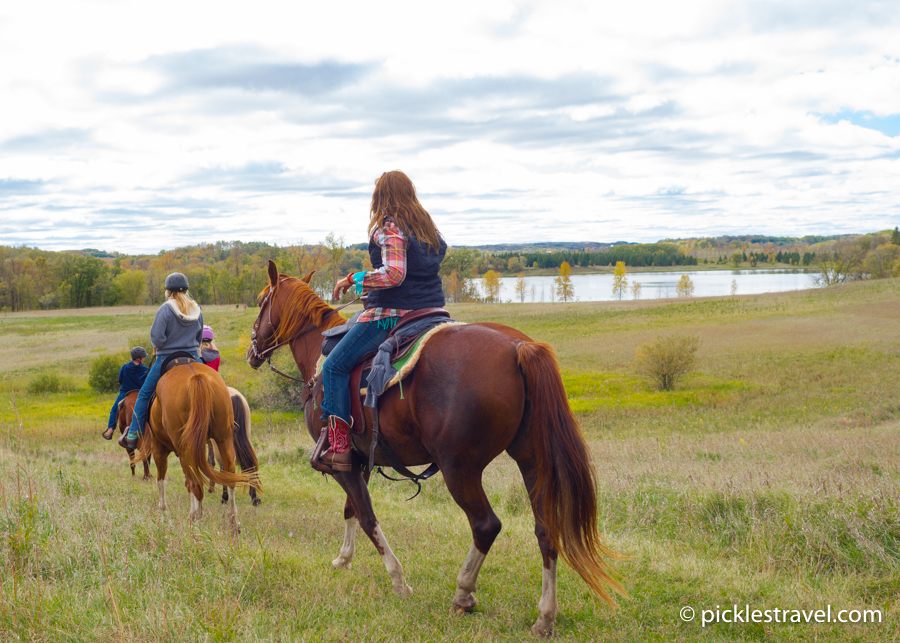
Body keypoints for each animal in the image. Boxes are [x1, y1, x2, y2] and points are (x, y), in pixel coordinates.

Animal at [132, 362, 262, 532]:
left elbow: (162, 481)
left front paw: (164, 513)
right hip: (224, 439)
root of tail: (197, 377)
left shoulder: (159, 449)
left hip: (187, 448)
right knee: (231, 472)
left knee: (196, 482)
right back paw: (234, 519)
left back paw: (198, 521)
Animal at [246, 260, 624, 636]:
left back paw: (463, 594)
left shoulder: (342, 463)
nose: (251, 352)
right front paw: (343, 558)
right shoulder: (358, 461)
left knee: (486, 525)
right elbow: (351, 509)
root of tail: (518, 346)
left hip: (460, 468)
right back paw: (544, 617)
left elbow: (367, 517)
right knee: (546, 530)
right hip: (531, 460)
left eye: (262, 300)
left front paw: (398, 580)